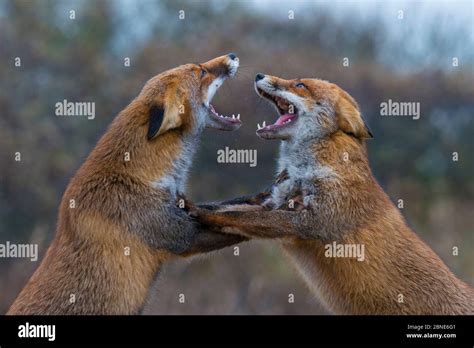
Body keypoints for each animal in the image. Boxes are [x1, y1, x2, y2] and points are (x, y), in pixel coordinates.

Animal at [7, 52, 246, 316]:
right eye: (201, 71)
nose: (232, 55)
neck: (139, 176)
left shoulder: (180, 208)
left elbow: (228, 206)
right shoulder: (180, 236)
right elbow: (239, 228)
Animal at [193, 73, 474, 316]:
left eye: (300, 85)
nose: (259, 75)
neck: (306, 169)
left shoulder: (310, 220)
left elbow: (237, 217)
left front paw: (199, 214)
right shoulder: (276, 202)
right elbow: (229, 208)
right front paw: (196, 207)